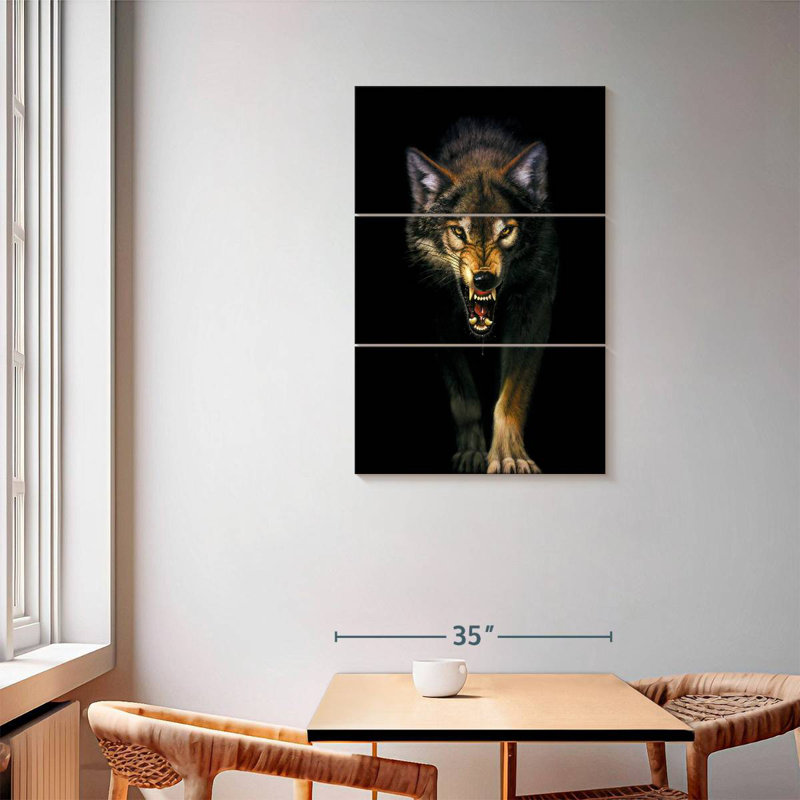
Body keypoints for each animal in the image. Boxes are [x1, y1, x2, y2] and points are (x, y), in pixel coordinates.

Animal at [405, 119, 558, 473]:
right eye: (459, 232)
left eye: (506, 231)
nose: (483, 279)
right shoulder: (438, 314)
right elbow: (465, 398)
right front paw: (471, 453)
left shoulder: (534, 309)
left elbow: (510, 398)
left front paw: (509, 457)